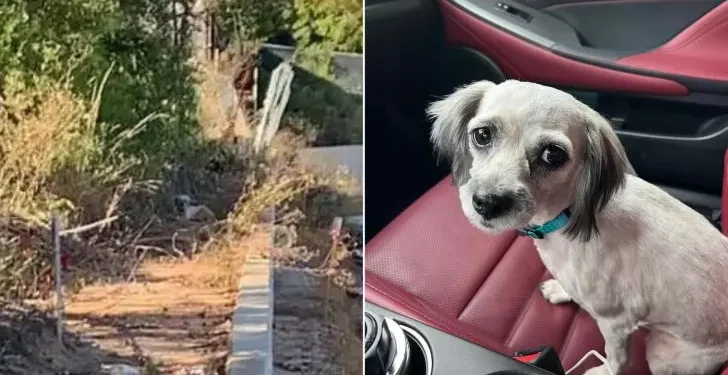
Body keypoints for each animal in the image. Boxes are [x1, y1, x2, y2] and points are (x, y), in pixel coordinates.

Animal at [426, 81, 728, 375]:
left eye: (553, 154)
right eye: (482, 135)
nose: (488, 203)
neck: (566, 215)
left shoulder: (617, 322)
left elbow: (617, 359)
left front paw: (602, 371)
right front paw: (562, 291)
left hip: (661, 354)